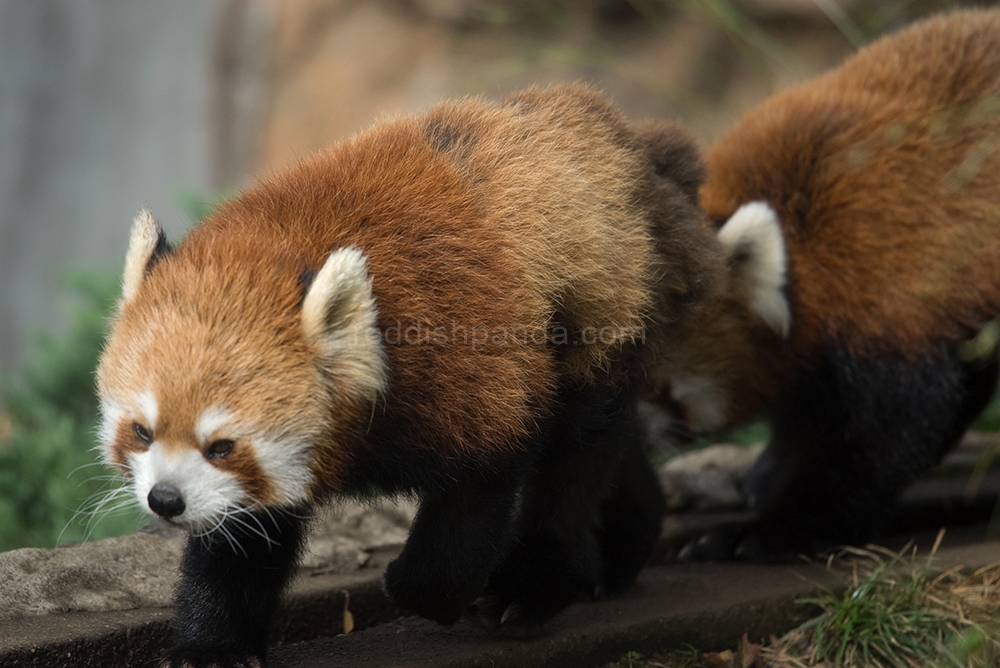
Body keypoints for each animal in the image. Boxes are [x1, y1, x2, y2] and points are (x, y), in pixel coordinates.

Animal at [95, 86, 720, 664]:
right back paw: (621, 552)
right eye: (142, 432)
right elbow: (242, 538)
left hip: (602, 314)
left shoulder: (472, 364)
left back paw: (532, 587)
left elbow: (478, 490)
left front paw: (429, 591)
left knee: (574, 463)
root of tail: (626, 140)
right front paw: (214, 645)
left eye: (222, 446)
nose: (165, 500)